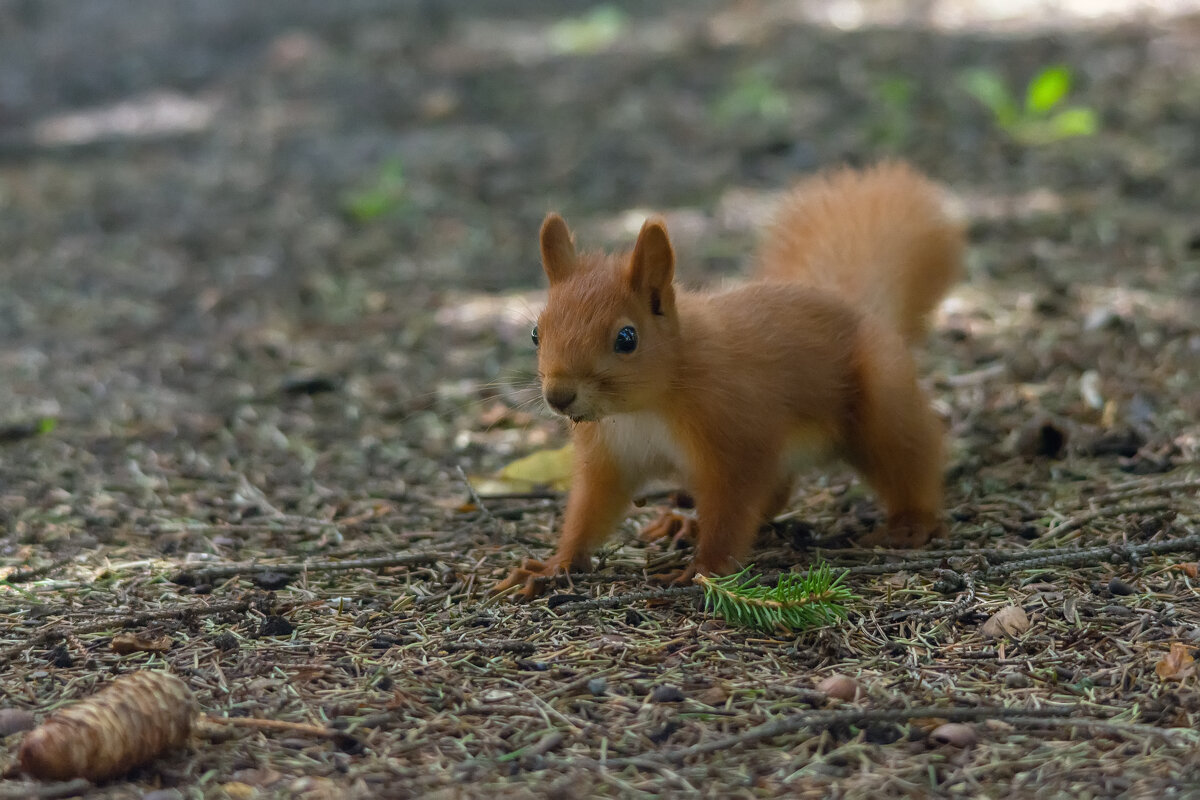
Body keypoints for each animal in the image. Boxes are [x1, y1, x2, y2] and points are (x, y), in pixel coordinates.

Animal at [494, 163, 964, 597]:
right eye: (535, 333)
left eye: (627, 338)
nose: (559, 396)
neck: (642, 408)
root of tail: (855, 308)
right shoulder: (609, 456)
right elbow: (590, 511)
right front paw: (554, 565)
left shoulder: (736, 438)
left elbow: (732, 509)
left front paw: (703, 569)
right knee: (775, 493)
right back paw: (682, 523)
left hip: (882, 399)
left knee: (909, 457)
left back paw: (911, 523)